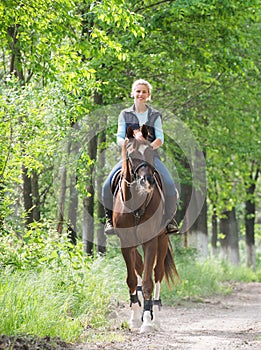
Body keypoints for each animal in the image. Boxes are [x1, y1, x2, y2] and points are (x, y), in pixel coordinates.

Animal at [111, 125, 179, 330]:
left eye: (150, 152)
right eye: (131, 154)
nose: (147, 181)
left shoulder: (150, 241)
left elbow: (149, 281)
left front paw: (148, 321)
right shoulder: (126, 242)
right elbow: (132, 279)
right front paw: (134, 318)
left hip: (162, 240)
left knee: (158, 273)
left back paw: (155, 317)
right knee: (140, 268)